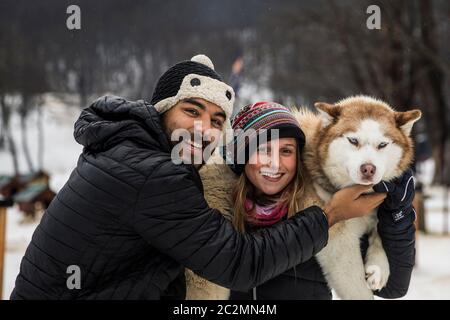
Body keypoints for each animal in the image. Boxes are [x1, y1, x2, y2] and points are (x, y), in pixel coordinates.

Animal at [185, 95, 420, 300]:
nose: (368, 169)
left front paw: (378, 268)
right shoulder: (338, 238)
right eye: (353, 140)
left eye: (383, 145)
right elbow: (356, 288)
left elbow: (380, 230)